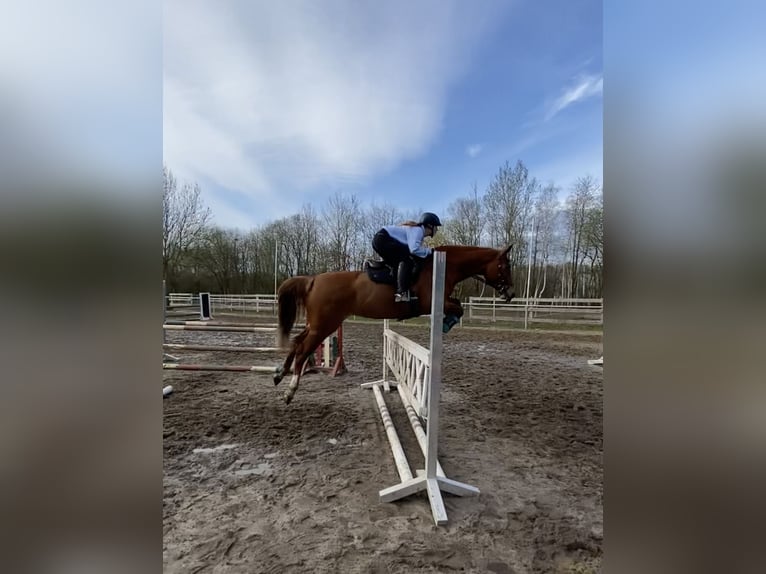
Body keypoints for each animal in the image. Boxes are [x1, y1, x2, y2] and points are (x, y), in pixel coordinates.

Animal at [272, 244, 512, 404]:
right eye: (504, 266)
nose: (510, 294)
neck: (446, 265)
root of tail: (313, 280)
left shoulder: (443, 300)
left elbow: (458, 305)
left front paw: (448, 322)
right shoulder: (431, 302)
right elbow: (458, 308)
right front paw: (446, 323)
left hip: (317, 324)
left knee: (296, 342)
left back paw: (279, 374)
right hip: (324, 325)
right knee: (302, 351)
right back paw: (289, 391)